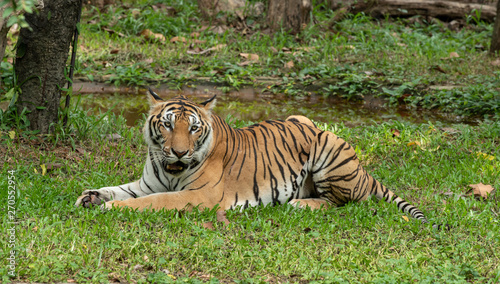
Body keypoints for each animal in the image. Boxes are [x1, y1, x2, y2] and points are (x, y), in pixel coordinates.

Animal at [74, 89, 426, 224]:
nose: (179, 151)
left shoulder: (199, 197)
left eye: (193, 128)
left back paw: (301, 204)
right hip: (301, 119)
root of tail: (365, 173)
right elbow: (119, 189)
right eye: (168, 124)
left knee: (343, 202)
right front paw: (89, 197)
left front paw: (110, 208)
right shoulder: (148, 183)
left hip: (328, 146)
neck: (170, 168)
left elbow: (149, 202)